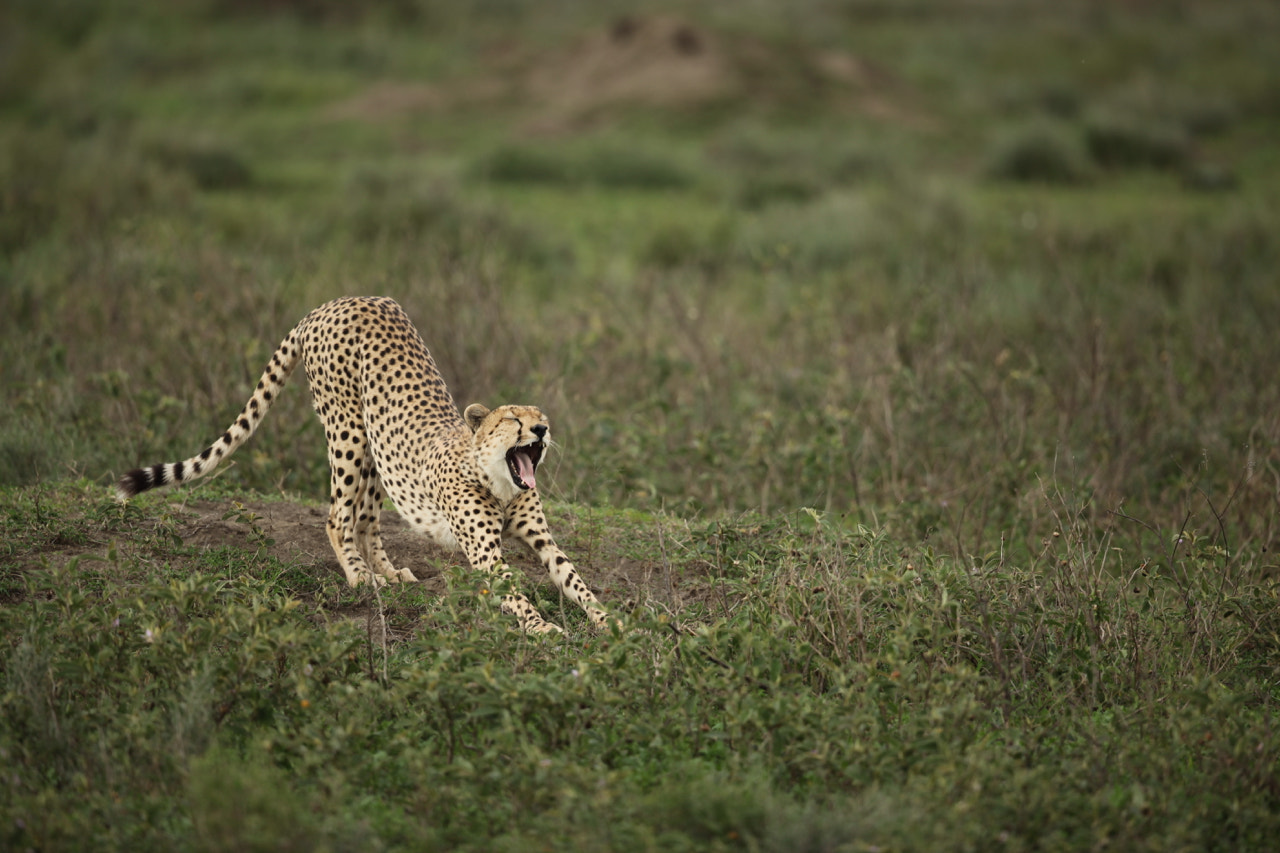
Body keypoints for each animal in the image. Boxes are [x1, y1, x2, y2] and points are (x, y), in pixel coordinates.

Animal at [116, 295, 610, 634]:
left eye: (542, 417)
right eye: (512, 419)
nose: (541, 430)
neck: (499, 481)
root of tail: (332, 304)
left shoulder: (542, 539)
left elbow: (574, 578)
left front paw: (611, 622)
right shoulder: (485, 553)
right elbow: (517, 593)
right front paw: (543, 627)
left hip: (375, 447)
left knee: (368, 516)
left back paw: (388, 572)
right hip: (347, 431)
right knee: (337, 516)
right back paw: (360, 578)